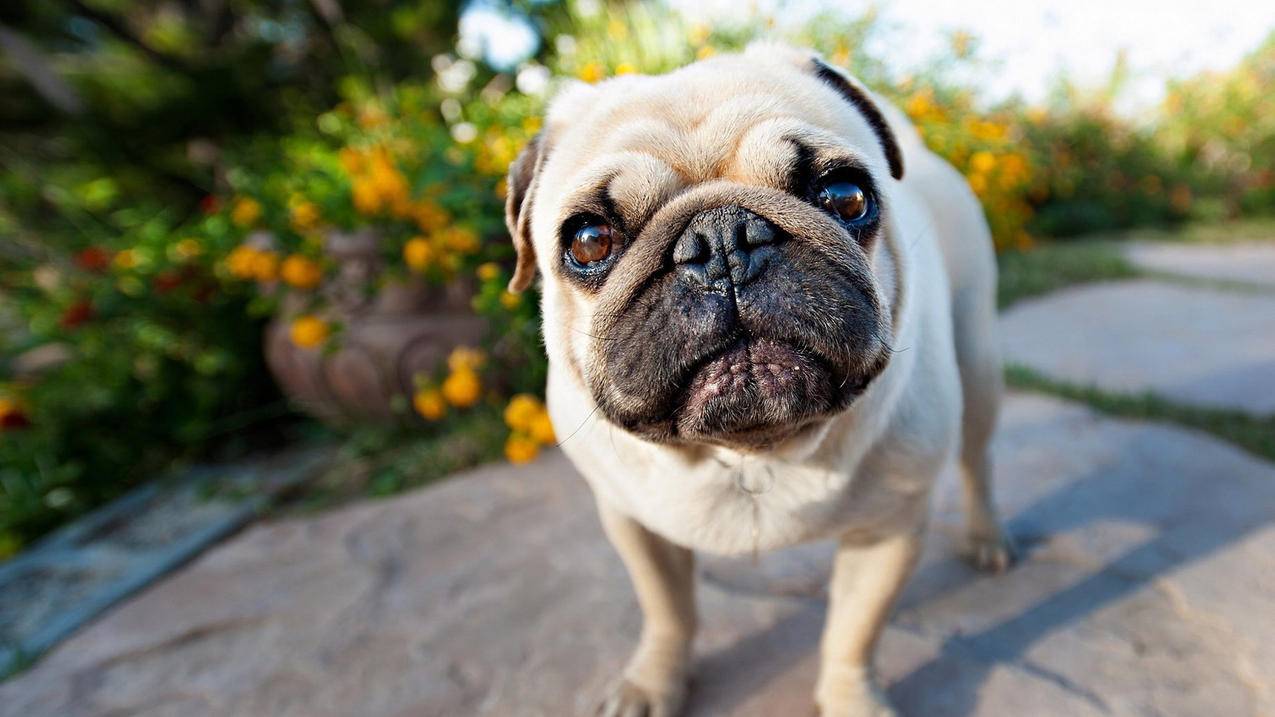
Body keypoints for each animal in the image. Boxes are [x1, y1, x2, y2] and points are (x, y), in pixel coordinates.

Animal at [502, 43, 1009, 714]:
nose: (721, 240)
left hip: (978, 363)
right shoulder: (633, 524)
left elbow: (853, 635)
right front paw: (652, 683)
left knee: (977, 458)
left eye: (846, 196)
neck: (750, 451)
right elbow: (668, 612)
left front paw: (851, 699)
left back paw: (986, 536)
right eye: (588, 241)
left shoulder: (888, 532)